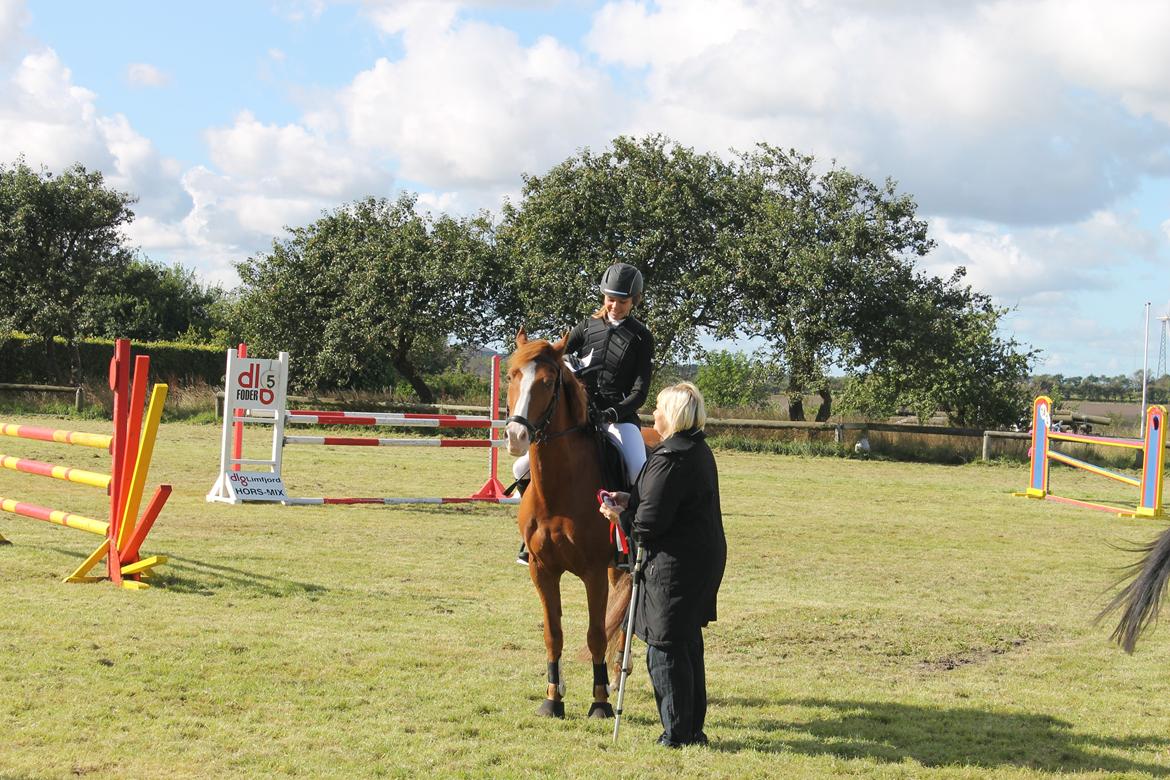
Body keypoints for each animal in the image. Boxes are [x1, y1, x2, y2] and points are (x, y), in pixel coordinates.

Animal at [504, 328, 660, 718]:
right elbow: (553, 633)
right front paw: (552, 697)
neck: (559, 489)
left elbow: (595, 633)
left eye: (547, 382)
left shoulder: (592, 572)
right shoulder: (542, 570)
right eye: (512, 376)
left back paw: (618, 675)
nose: (516, 437)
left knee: (627, 617)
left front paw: (600, 701)